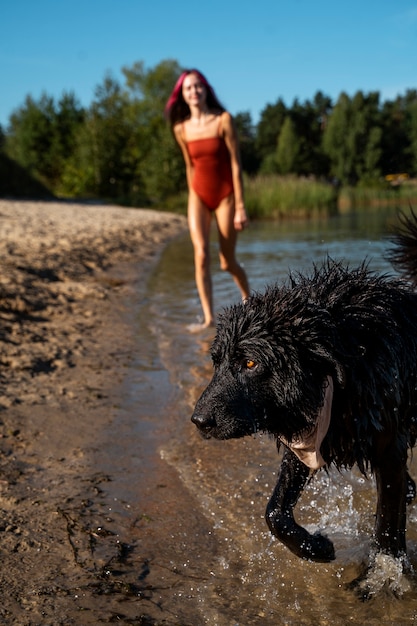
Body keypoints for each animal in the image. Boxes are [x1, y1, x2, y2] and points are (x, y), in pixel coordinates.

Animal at [192, 211, 416, 572]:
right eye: (216, 361)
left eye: (250, 363)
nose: (198, 421)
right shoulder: (306, 439)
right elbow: (274, 512)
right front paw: (316, 547)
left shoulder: (388, 449)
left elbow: (386, 529)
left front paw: (383, 574)